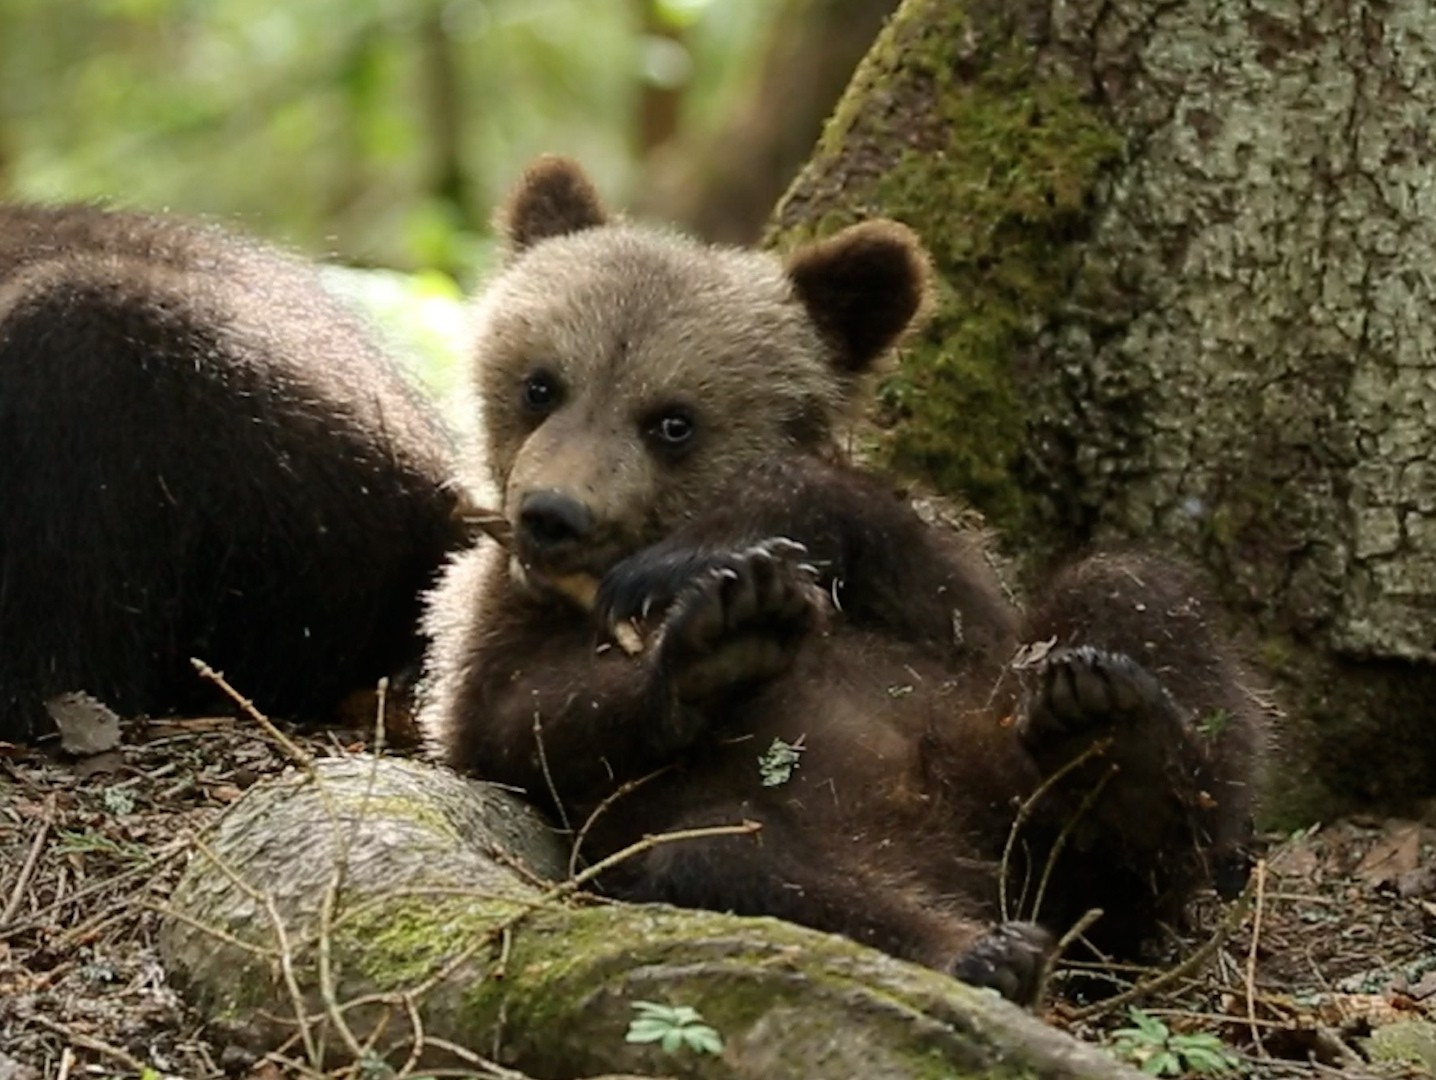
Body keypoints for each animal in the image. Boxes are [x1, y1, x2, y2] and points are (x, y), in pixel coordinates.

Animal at [419, 155, 1269, 999]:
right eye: (541, 384)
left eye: (673, 421)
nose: (553, 513)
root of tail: (978, 861)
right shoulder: (490, 625)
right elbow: (522, 721)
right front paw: (724, 633)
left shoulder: (943, 599)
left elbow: (956, 594)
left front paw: (714, 555)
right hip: (824, 826)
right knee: (736, 860)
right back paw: (984, 949)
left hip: (998, 742)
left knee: (1135, 604)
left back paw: (1117, 740)